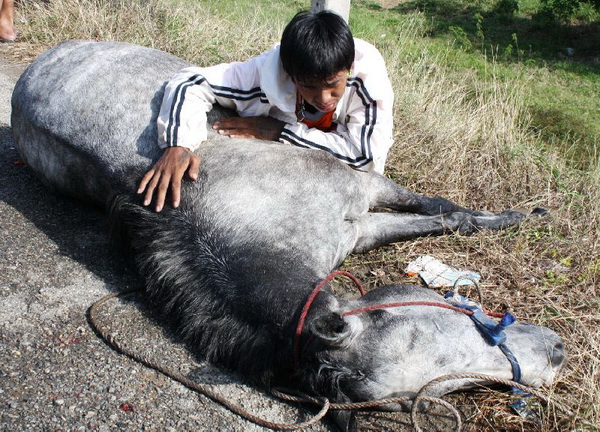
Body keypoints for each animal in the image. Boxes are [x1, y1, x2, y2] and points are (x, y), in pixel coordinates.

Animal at [10, 39, 564, 428]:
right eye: (448, 381)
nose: (556, 353)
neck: (236, 216)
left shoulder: (363, 203)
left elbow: (446, 213)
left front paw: (524, 216)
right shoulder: (361, 203)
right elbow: (445, 215)